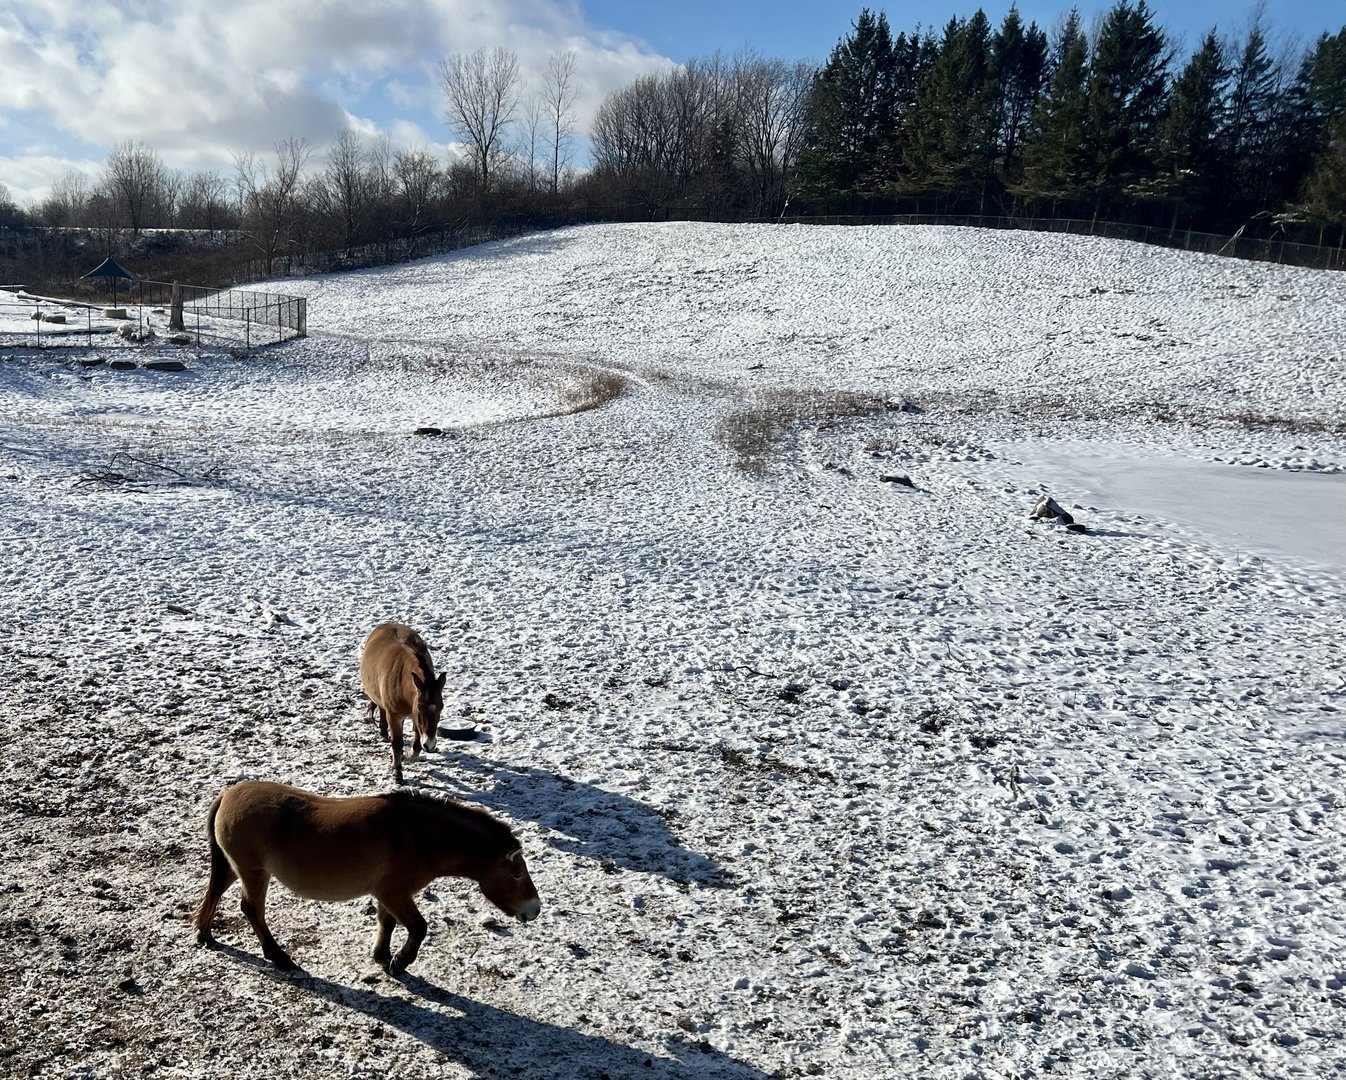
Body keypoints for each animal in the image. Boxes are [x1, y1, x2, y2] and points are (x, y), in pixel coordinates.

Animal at [194, 780, 541, 975]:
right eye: (517, 873)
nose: (535, 909)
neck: (418, 836)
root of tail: (228, 795)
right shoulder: (395, 893)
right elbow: (418, 928)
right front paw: (399, 963)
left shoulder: (389, 895)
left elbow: (386, 922)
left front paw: (382, 956)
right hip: (254, 872)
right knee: (252, 910)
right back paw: (278, 957)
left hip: (234, 867)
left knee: (215, 894)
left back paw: (205, 935)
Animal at [360, 622, 446, 784]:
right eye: (420, 706)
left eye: (441, 707)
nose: (430, 744)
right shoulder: (395, 716)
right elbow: (397, 743)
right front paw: (397, 773)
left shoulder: (415, 718)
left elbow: (417, 743)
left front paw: (410, 754)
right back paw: (383, 731)